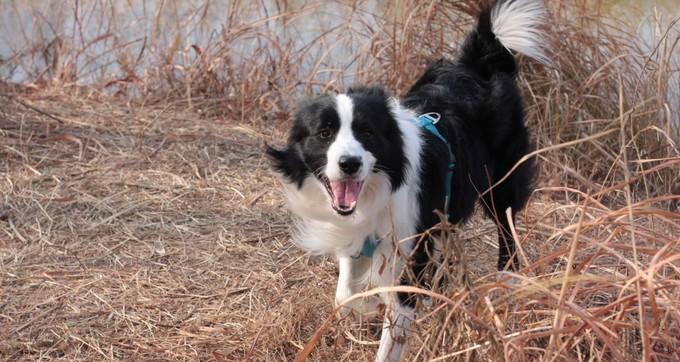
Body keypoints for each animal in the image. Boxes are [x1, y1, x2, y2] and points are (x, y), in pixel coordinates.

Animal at [268, 1, 544, 360]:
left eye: (367, 132)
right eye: (324, 133)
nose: (349, 164)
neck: (377, 190)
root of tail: (479, 60)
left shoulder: (409, 256)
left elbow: (391, 329)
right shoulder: (358, 236)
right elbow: (344, 295)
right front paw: (367, 304)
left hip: (501, 181)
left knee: (506, 229)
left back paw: (507, 280)